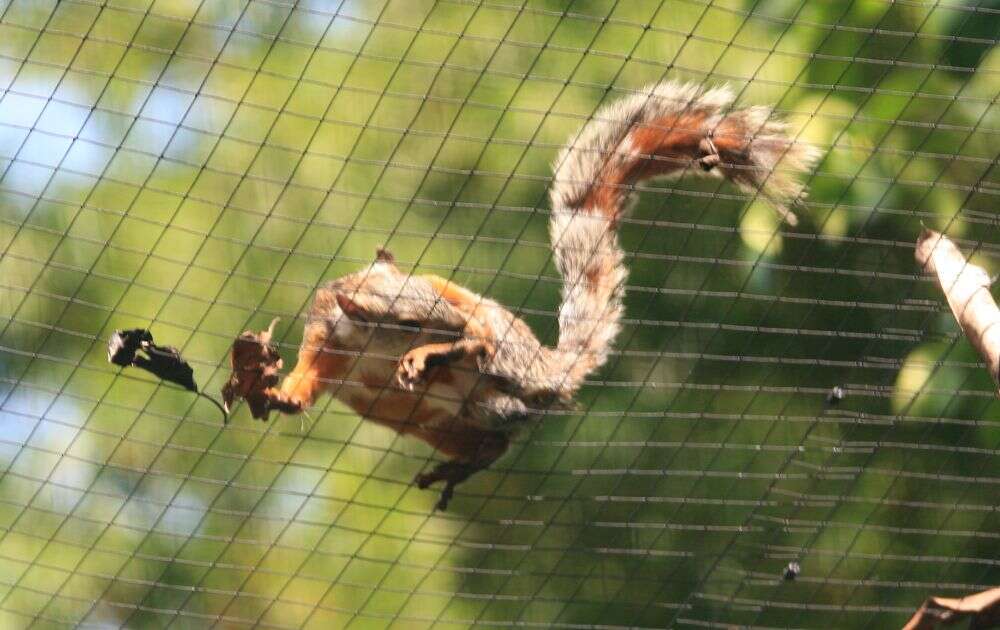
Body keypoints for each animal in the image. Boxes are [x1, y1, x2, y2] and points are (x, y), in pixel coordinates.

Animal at [223, 81, 816, 512]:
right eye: (404, 322)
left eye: (432, 305)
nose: (446, 331)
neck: (370, 347)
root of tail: (548, 371)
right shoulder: (329, 335)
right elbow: (307, 381)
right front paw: (274, 389)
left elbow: (464, 340)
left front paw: (437, 349)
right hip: (444, 423)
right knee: (495, 441)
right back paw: (458, 460)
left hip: (496, 374)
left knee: (492, 381)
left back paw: (448, 372)